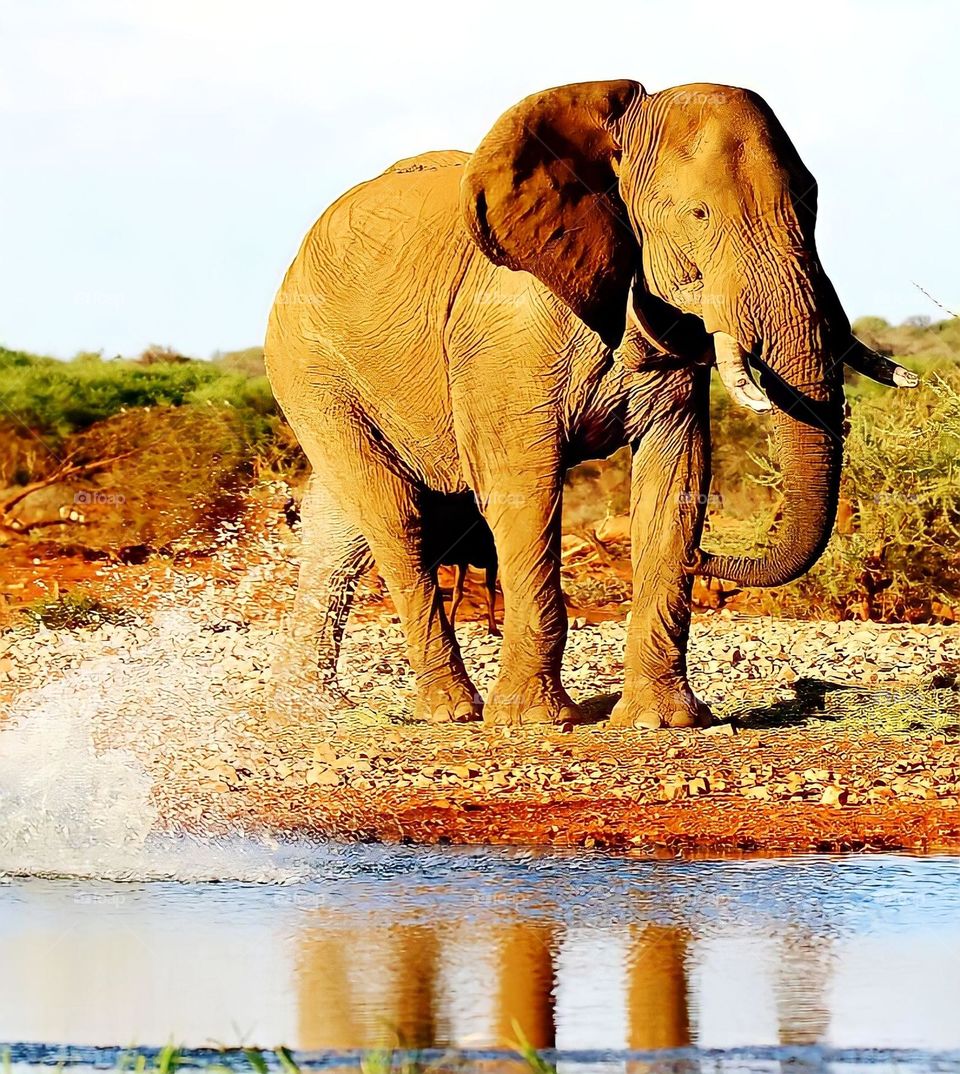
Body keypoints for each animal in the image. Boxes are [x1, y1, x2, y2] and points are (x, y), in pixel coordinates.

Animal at [265, 79, 916, 729]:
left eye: (812, 205)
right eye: (698, 214)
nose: (708, 558)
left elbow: (676, 480)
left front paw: (661, 721)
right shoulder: (505, 336)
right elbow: (522, 489)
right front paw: (531, 720)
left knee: (342, 531)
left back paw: (308, 707)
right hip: (310, 369)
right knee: (396, 518)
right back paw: (448, 712)